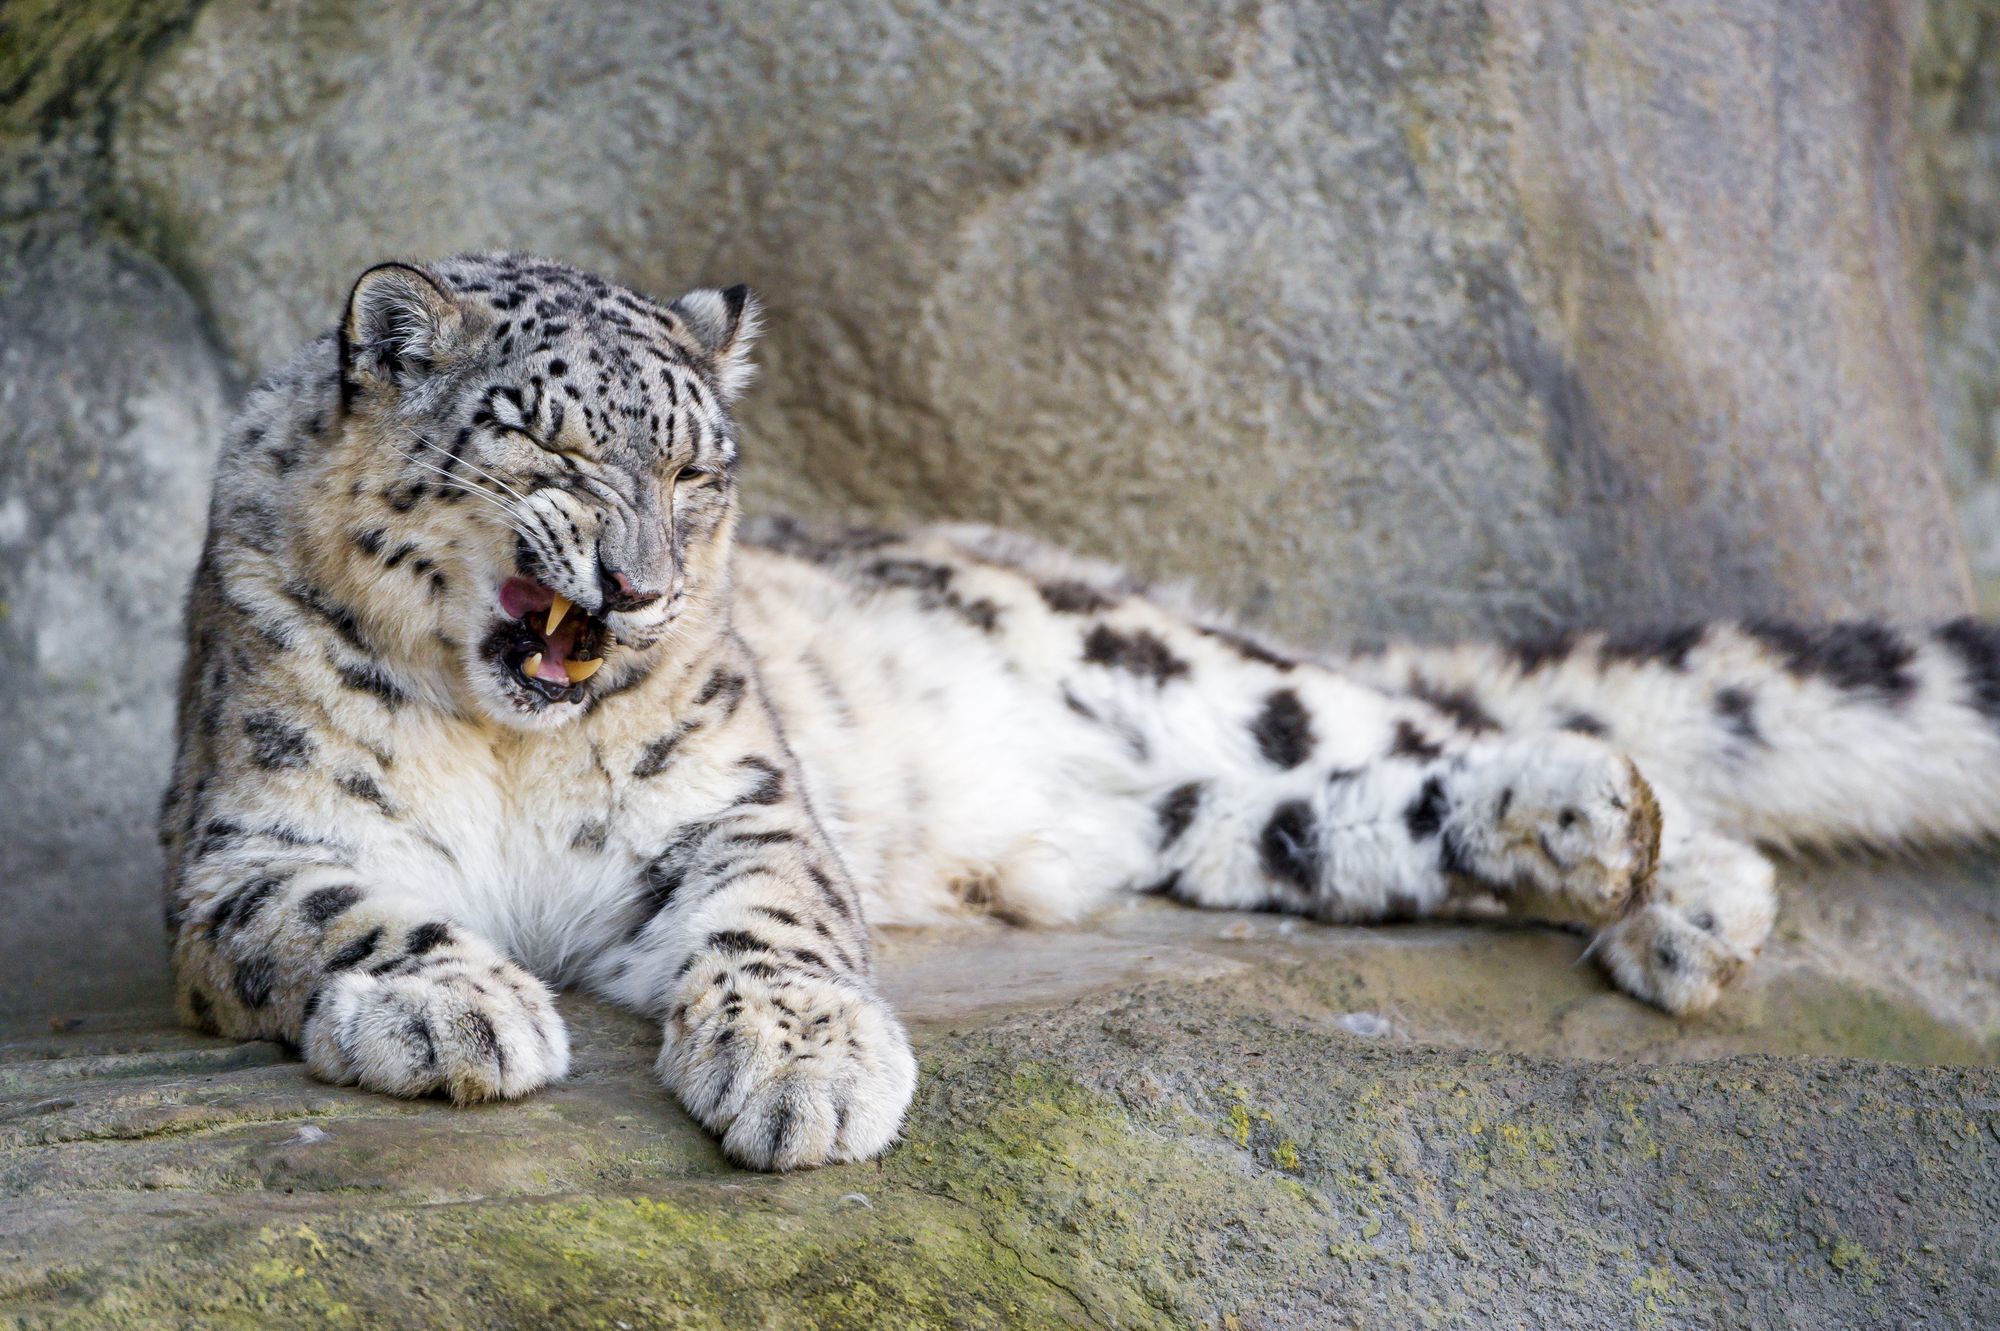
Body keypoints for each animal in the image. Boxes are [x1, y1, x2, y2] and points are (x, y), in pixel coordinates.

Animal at [164, 248, 2000, 1159]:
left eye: (692, 472)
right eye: (547, 446)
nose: (644, 586)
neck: (511, 750)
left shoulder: (741, 809)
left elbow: (776, 925)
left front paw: (807, 1069)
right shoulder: (243, 843)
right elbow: (334, 908)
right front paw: (454, 1008)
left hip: (1181, 676)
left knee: (1403, 728)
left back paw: (1670, 884)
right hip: (1216, 820)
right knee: (1368, 817)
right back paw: (1593, 841)